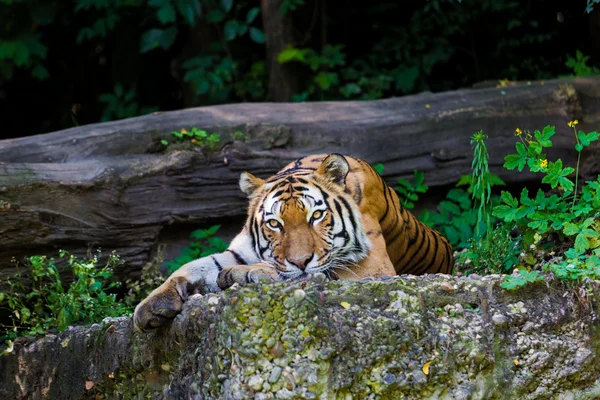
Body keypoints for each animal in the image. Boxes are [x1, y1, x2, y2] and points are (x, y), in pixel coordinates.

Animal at [134, 153, 452, 332]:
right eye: (275, 223)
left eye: (317, 216)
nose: (300, 261)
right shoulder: (238, 250)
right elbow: (193, 266)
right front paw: (152, 306)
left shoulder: (373, 268)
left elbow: (304, 274)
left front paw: (241, 274)